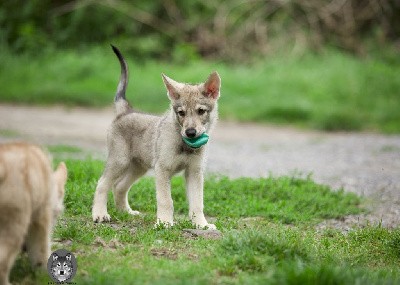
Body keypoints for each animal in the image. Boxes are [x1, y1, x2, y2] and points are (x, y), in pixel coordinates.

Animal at [0, 142, 67, 284]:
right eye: (56, 215)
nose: (24, 248)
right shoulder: (41, 218)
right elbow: (41, 249)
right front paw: (44, 273)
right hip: (14, 226)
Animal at [92, 46, 220, 229]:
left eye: (201, 111)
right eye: (181, 113)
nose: (190, 133)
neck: (183, 144)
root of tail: (126, 111)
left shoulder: (194, 172)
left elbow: (197, 202)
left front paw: (201, 225)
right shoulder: (162, 170)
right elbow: (166, 200)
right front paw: (164, 223)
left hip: (139, 167)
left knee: (119, 186)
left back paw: (125, 212)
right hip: (120, 161)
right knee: (102, 184)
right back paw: (100, 214)